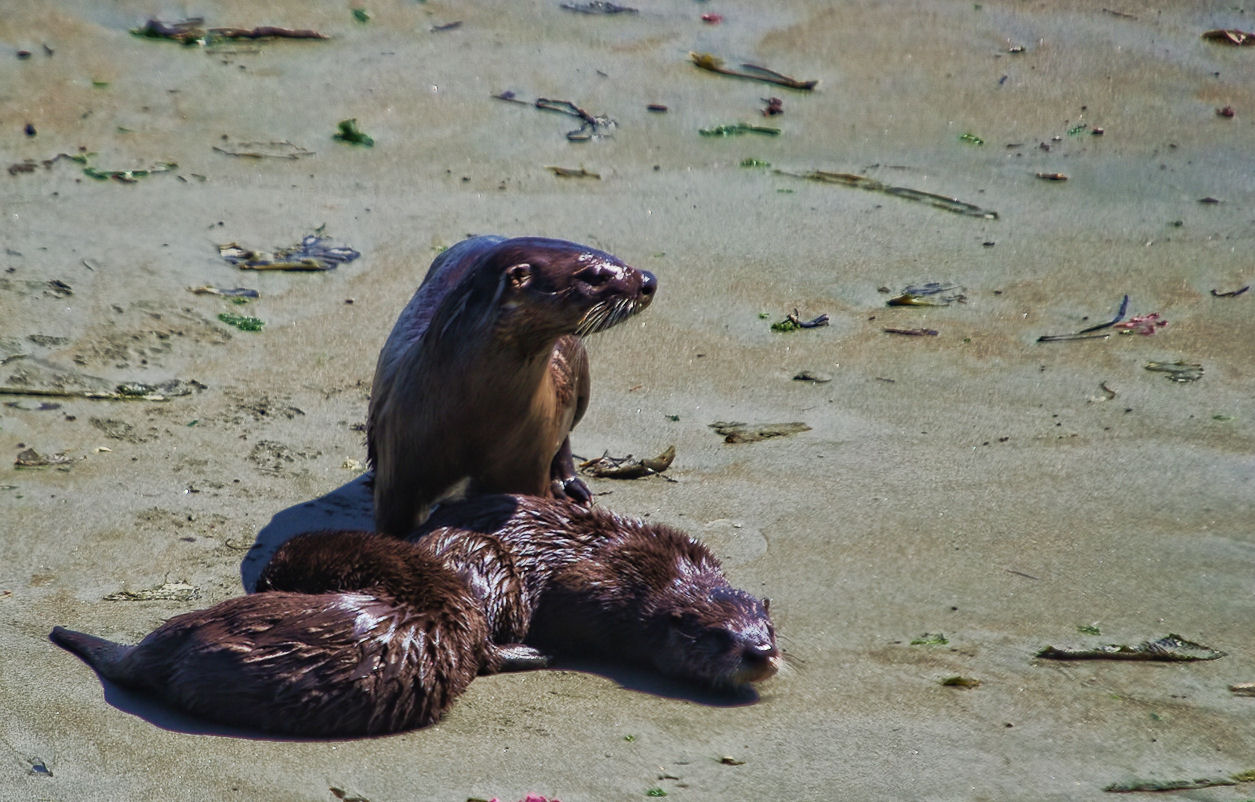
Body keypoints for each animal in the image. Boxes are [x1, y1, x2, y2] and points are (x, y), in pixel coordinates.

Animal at [367, 236, 657, 536]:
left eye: (616, 257)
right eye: (596, 276)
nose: (649, 280)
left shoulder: (527, 468)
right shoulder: (397, 483)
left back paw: (571, 487)